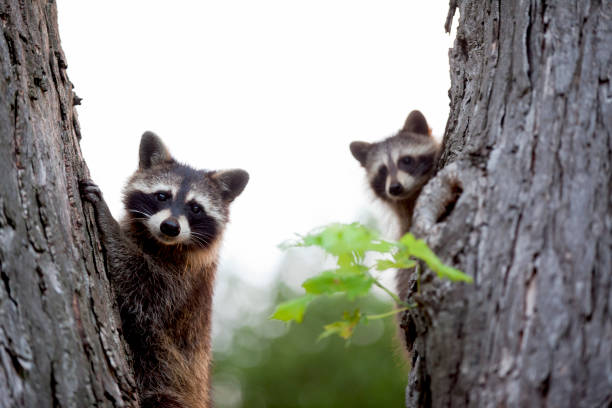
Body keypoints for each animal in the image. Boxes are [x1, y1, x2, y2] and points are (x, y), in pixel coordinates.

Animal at [80, 132, 247, 406]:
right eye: (162, 196)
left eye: (195, 208)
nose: (170, 227)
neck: (160, 242)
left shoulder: (184, 281)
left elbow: (141, 284)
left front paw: (107, 220)